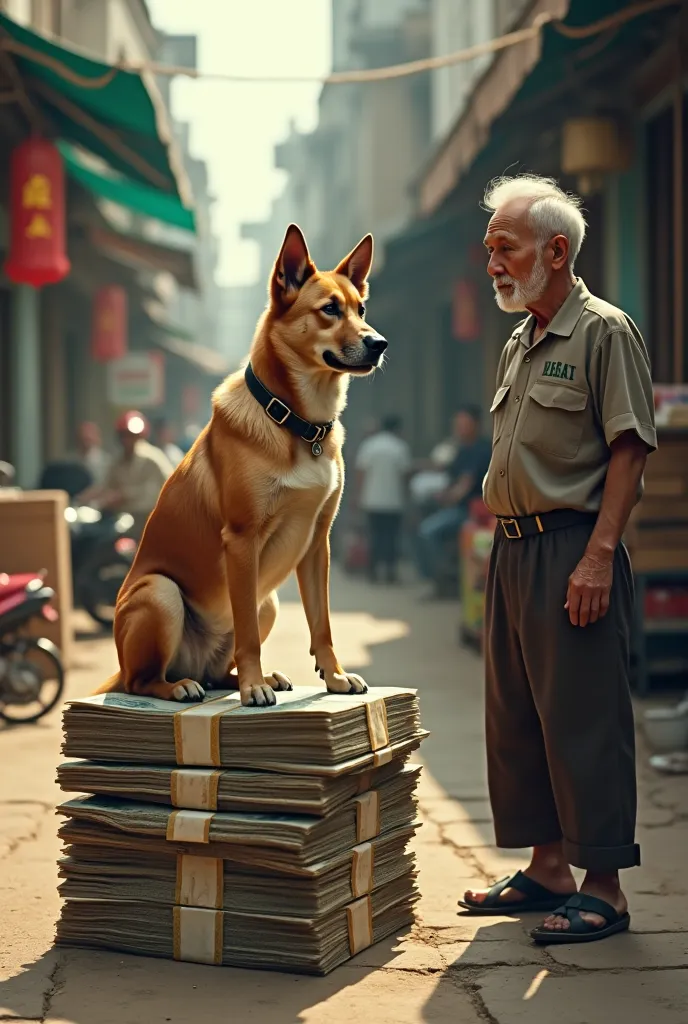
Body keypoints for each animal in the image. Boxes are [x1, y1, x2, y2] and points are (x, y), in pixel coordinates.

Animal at [96, 223, 387, 704]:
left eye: (361, 309)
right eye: (329, 309)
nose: (379, 344)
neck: (297, 424)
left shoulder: (317, 544)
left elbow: (322, 624)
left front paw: (334, 675)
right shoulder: (241, 540)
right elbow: (247, 631)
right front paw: (253, 687)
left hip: (268, 602)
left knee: (217, 671)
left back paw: (255, 677)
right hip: (161, 593)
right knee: (145, 679)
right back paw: (185, 686)